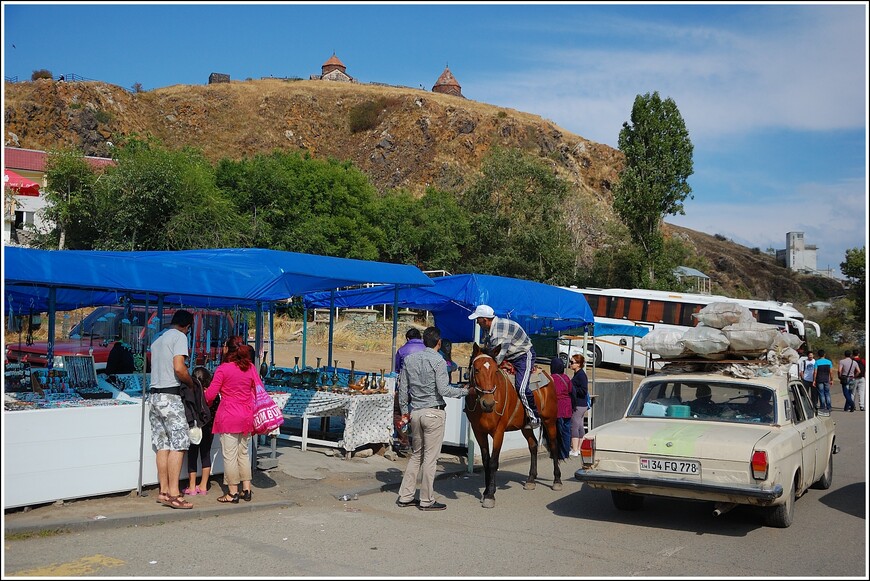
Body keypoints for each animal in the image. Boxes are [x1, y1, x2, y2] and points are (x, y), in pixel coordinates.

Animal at [466, 342, 564, 506]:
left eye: (495, 371)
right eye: (477, 370)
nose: (488, 403)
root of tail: (548, 375)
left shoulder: (498, 432)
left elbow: (493, 462)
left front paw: (490, 495)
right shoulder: (479, 431)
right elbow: (486, 461)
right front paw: (486, 491)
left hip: (550, 421)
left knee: (554, 446)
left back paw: (557, 481)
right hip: (526, 427)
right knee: (533, 446)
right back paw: (531, 480)